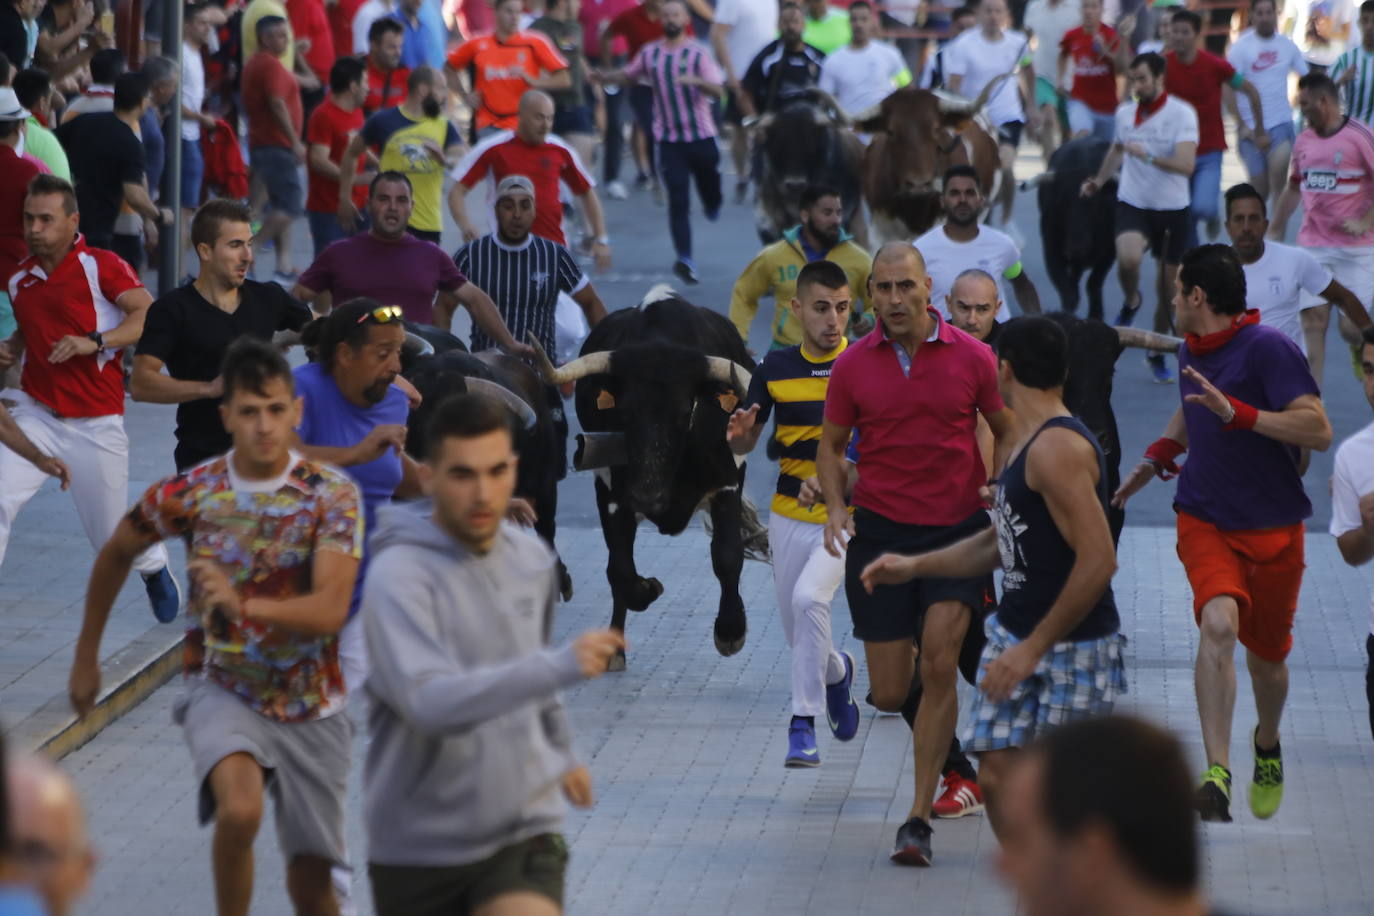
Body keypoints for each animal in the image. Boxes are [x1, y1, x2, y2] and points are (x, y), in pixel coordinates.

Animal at [527, 288, 763, 672]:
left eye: (685, 412)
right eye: (624, 412)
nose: (647, 496)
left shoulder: (727, 480)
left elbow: (727, 555)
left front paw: (730, 631)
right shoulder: (613, 494)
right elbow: (621, 570)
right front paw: (649, 587)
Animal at [1038, 137, 1115, 318]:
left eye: (1095, 203)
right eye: (1061, 202)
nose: (1076, 247)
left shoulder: (1110, 251)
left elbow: (1094, 282)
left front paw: (1096, 315)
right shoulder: (1050, 249)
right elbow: (1068, 292)